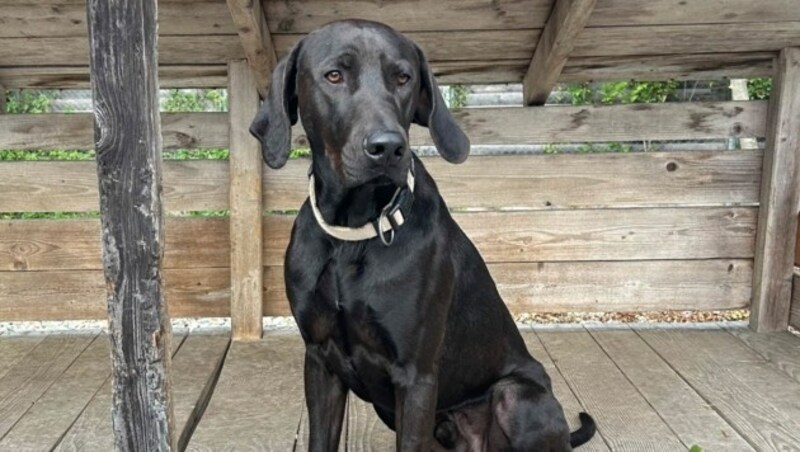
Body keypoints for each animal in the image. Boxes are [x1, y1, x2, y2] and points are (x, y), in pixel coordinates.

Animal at [250, 19, 592, 450]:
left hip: (518, 396)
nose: (388, 147)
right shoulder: (320, 360)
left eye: (403, 77)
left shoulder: (415, 376)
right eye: (334, 75)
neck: (353, 233)